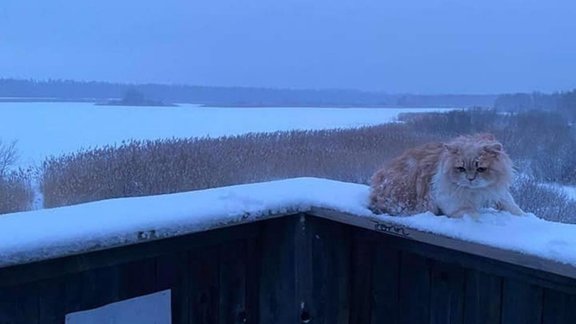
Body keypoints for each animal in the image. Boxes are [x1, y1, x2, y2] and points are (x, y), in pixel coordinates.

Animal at [372, 133, 524, 219]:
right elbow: (472, 214)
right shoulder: (447, 198)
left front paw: (522, 215)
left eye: (481, 169)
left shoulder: (497, 191)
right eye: (461, 169)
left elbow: (510, 205)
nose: (470, 179)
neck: (476, 192)